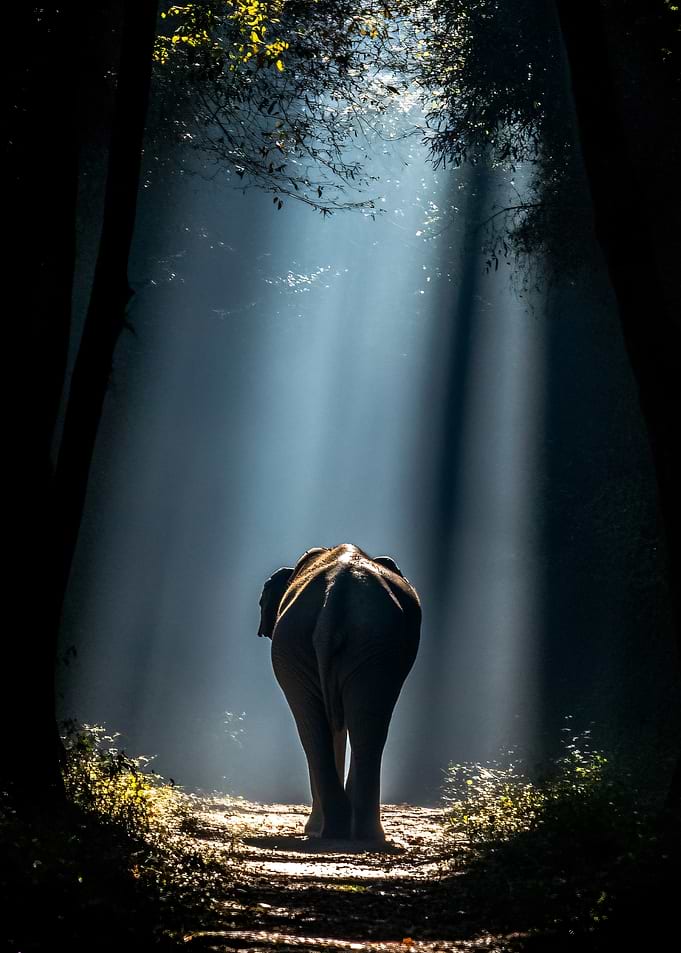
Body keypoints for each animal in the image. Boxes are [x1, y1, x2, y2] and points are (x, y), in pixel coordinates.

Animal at [258, 543, 421, 842]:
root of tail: (332, 604)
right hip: (320, 644)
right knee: (349, 724)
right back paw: (343, 832)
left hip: (356, 643)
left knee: (344, 724)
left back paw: (345, 832)